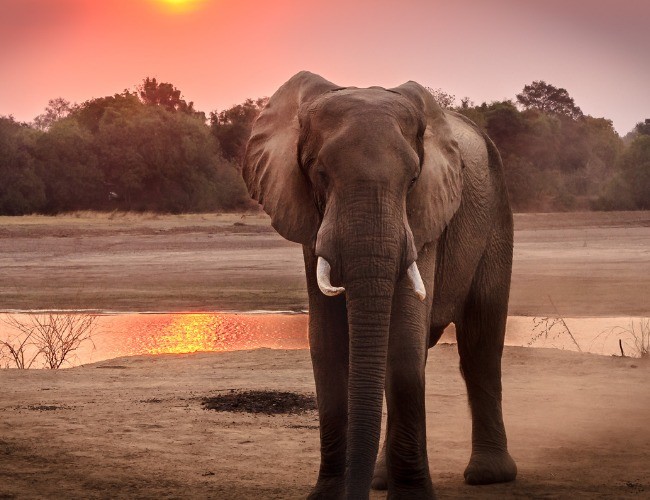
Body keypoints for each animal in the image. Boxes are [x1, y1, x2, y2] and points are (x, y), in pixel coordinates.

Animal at [242, 71, 517, 499]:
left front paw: (413, 497)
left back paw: (488, 475)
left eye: (414, 179)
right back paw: (381, 480)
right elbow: (327, 342)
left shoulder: (425, 216)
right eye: (319, 175)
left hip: (497, 216)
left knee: (480, 344)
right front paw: (328, 495)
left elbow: (403, 340)